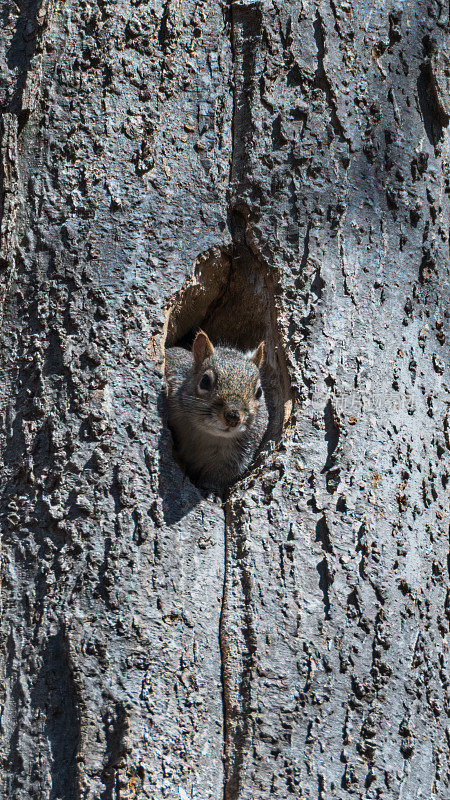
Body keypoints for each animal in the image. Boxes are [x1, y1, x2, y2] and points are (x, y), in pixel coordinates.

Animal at [165, 328, 270, 490]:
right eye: (205, 381)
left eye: (259, 392)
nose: (233, 417)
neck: (206, 433)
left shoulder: (237, 456)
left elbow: (217, 477)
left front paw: (210, 491)